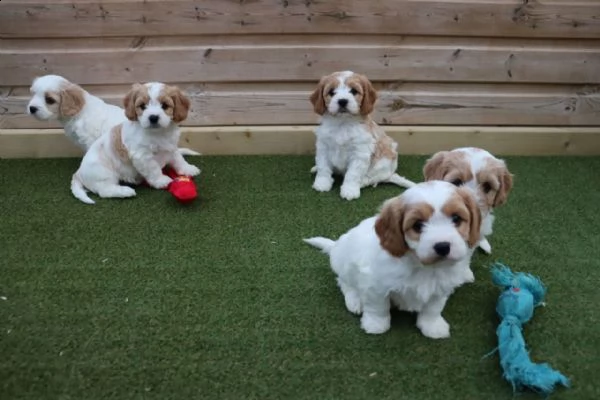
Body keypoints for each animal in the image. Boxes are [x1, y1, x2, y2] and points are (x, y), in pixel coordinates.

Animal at [70, 82, 202, 205]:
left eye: (164, 105)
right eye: (142, 106)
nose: (153, 117)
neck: (158, 133)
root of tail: (78, 172)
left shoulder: (171, 147)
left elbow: (178, 159)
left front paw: (188, 169)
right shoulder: (142, 156)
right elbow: (154, 169)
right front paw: (161, 181)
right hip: (104, 174)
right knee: (105, 191)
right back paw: (125, 191)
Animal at [304, 180, 478, 340]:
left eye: (456, 218)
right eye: (417, 225)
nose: (442, 246)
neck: (423, 266)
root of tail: (335, 246)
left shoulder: (440, 289)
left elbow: (433, 308)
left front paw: (432, 326)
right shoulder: (375, 285)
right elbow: (378, 307)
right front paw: (376, 325)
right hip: (344, 264)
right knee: (344, 283)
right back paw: (355, 300)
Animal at [308, 70, 414, 202]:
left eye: (354, 91)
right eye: (331, 92)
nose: (342, 101)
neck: (343, 123)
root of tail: (390, 174)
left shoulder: (360, 153)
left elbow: (352, 174)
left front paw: (349, 190)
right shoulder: (323, 147)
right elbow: (323, 167)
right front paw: (322, 183)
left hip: (384, 161)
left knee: (372, 179)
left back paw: (362, 182)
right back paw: (315, 168)